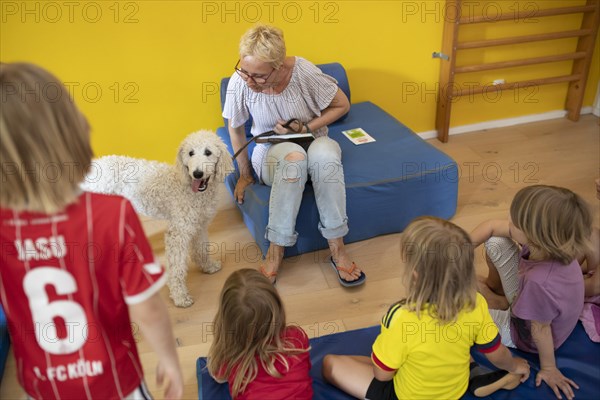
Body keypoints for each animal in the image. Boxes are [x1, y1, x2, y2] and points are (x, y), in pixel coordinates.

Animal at [83, 130, 233, 308]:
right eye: (190, 153)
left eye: (208, 152)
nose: (197, 173)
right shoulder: (178, 233)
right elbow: (176, 267)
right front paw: (180, 296)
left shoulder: (199, 226)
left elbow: (201, 249)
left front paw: (208, 266)